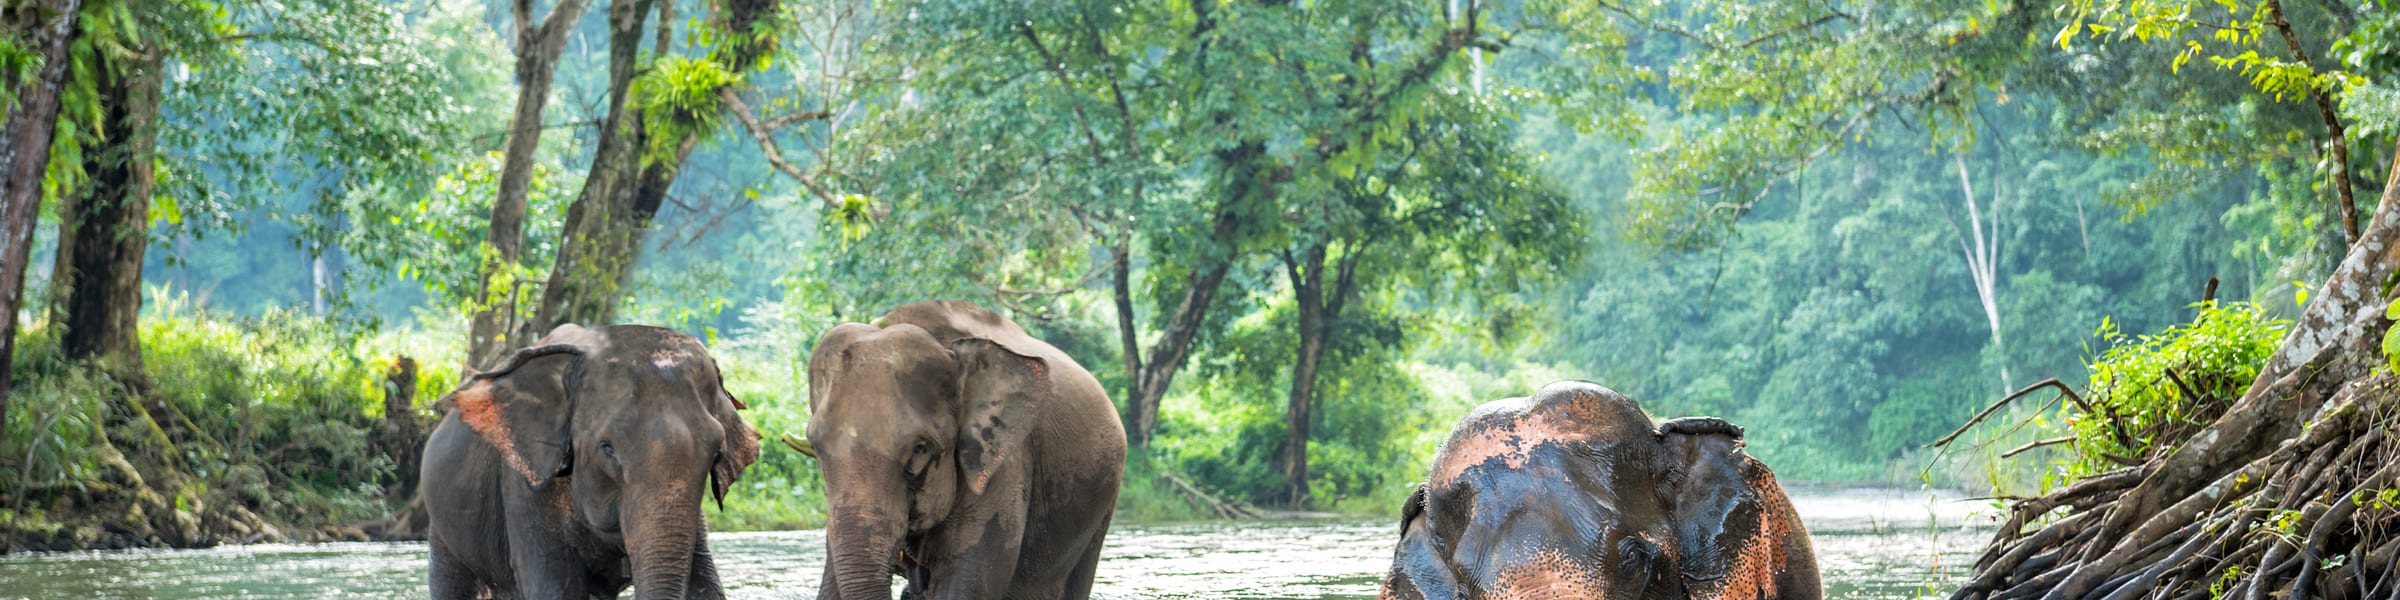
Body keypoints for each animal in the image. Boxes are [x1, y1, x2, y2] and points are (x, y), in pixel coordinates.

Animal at [421, 324, 761, 600]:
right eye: (607, 448)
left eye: (716, 452)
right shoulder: (523, 484)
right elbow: (556, 589)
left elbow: (705, 587)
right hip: (443, 527)